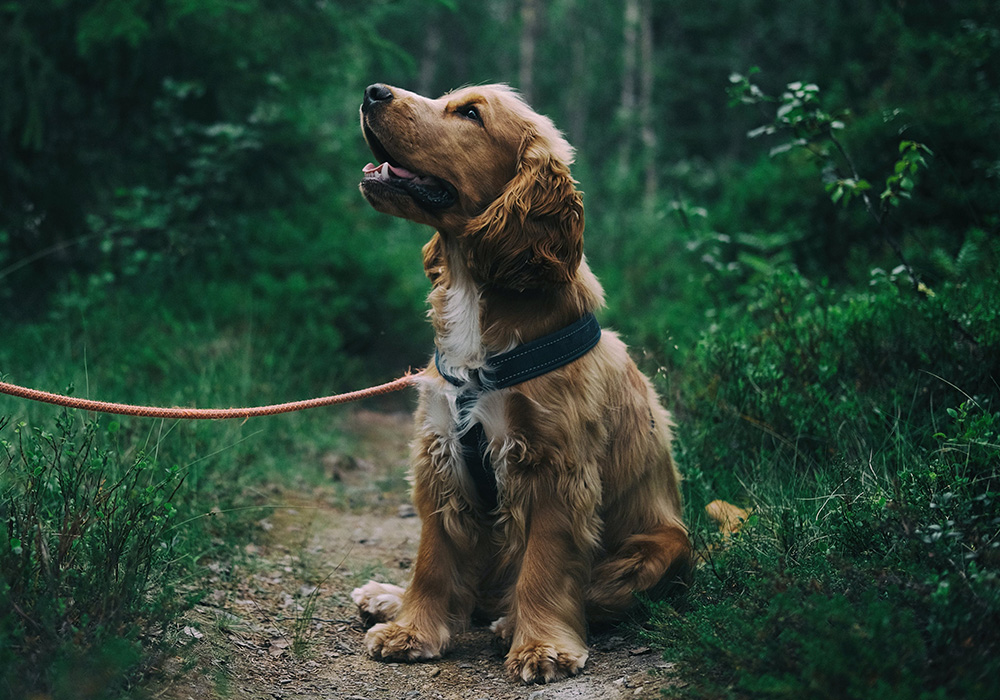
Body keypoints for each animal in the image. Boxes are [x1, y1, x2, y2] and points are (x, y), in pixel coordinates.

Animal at [350, 82, 688, 684]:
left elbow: (546, 566)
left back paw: (509, 622)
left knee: (585, 592)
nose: (372, 91)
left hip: (663, 545)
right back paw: (388, 597)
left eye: (470, 113)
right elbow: (433, 559)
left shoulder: (554, 466)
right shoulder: (441, 452)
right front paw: (412, 630)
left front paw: (541, 647)